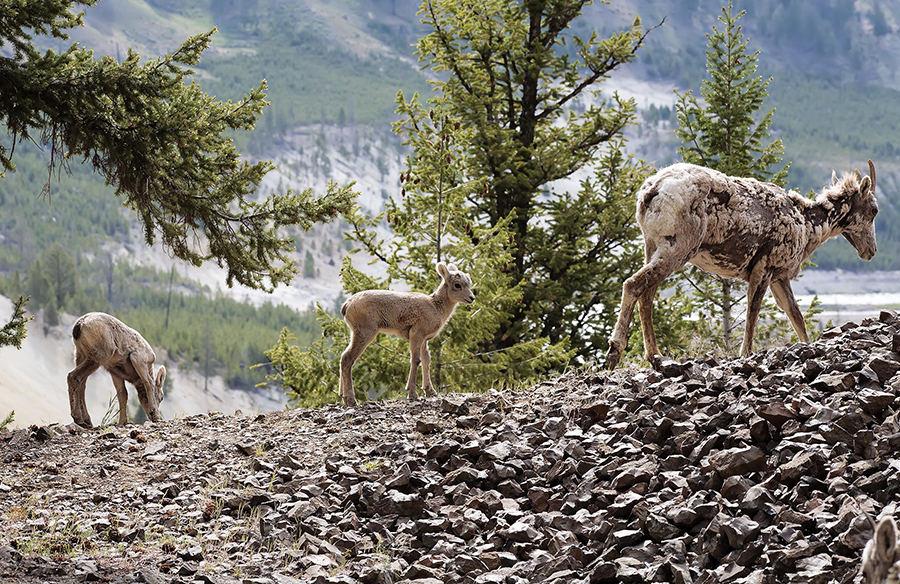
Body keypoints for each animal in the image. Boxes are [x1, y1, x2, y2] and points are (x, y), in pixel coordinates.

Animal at [340, 264, 478, 406]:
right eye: (457, 285)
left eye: (469, 283)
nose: (471, 298)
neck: (435, 307)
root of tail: (347, 305)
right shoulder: (416, 334)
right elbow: (416, 360)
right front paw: (413, 394)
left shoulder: (424, 340)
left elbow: (426, 360)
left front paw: (430, 392)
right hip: (365, 332)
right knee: (347, 358)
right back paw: (351, 400)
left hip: (356, 332)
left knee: (343, 356)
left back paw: (343, 397)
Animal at [604, 160, 880, 370]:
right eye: (874, 210)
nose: (871, 251)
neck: (808, 227)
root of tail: (649, 194)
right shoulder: (764, 268)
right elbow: (753, 312)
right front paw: (744, 354)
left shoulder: (780, 277)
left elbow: (796, 315)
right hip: (677, 247)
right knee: (633, 284)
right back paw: (614, 352)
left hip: (652, 246)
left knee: (646, 294)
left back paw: (655, 356)